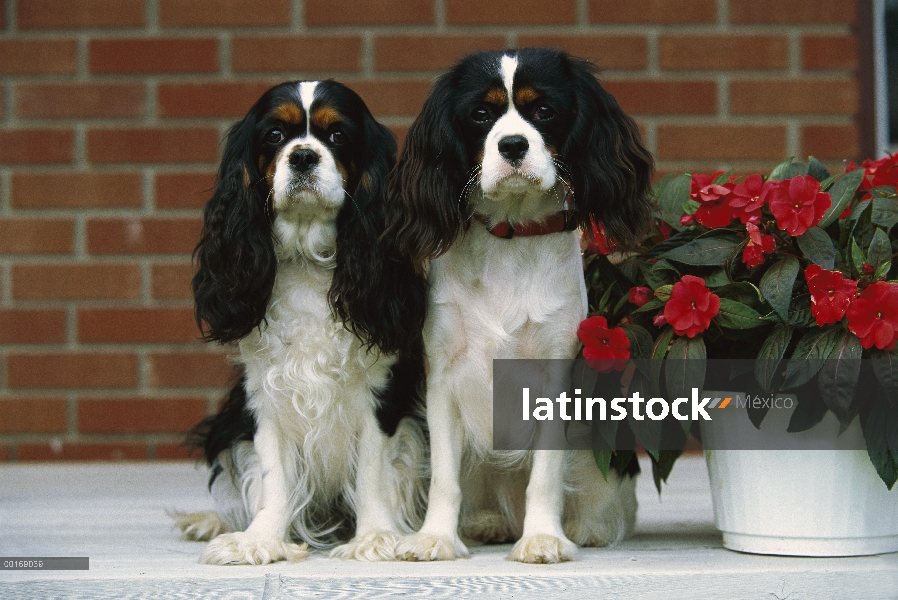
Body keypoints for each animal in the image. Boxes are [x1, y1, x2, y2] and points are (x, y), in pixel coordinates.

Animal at [175, 81, 430, 568]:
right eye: (275, 135)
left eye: (338, 135)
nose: (304, 156)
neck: (310, 259)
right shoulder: (264, 395)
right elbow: (272, 475)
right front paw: (260, 540)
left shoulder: (382, 394)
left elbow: (372, 469)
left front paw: (374, 538)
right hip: (228, 423)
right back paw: (212, 521)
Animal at [368, 50, 656, 564]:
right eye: (481, 114)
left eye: (543, 110)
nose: (513, 145)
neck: (510, 235)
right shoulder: (443, 375)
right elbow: (444, 477)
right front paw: (435, 538)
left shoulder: (556, 372)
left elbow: (545, 476)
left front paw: (542, 538)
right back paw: (486, 523)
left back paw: (588, 527)